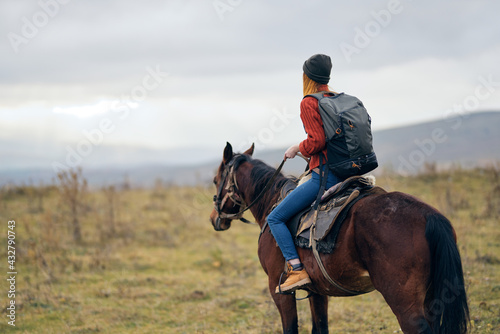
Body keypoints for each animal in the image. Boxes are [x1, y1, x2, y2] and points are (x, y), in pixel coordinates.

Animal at [209, 143, 470, 334]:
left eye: (215, 180)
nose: (214, 219)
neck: (271, 204)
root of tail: (430, 216)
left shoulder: (279, 289)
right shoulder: (317, 290)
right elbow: (320, 328)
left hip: (404, 302)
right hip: (431, 298)